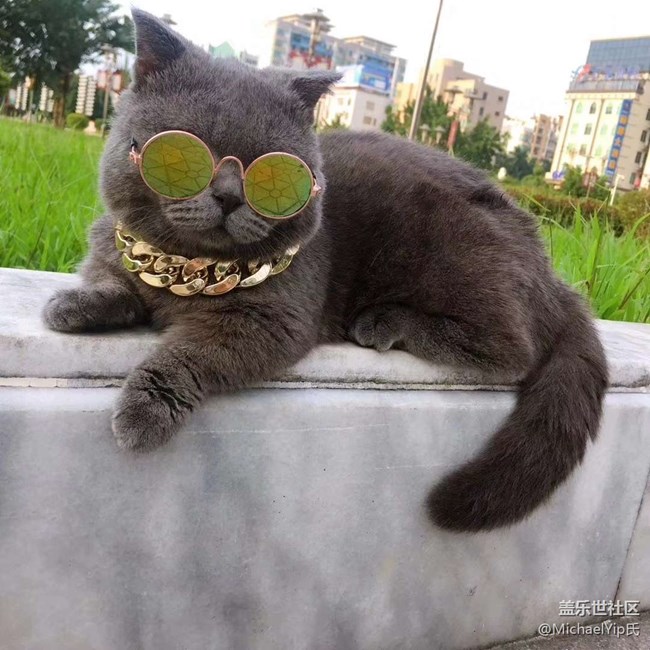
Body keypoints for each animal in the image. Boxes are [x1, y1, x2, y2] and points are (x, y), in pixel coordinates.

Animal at [43, 9, 608, 532]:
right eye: (184, 152)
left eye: (273, 171)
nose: (227, 195)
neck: (189, 266)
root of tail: (554, 276)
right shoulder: (117, 255)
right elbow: (113, 282)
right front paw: (72, 305)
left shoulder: (271, 321)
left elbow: (188, 355)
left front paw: (145, 410)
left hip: (452, 252)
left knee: (514, 350)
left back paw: (383, 322)